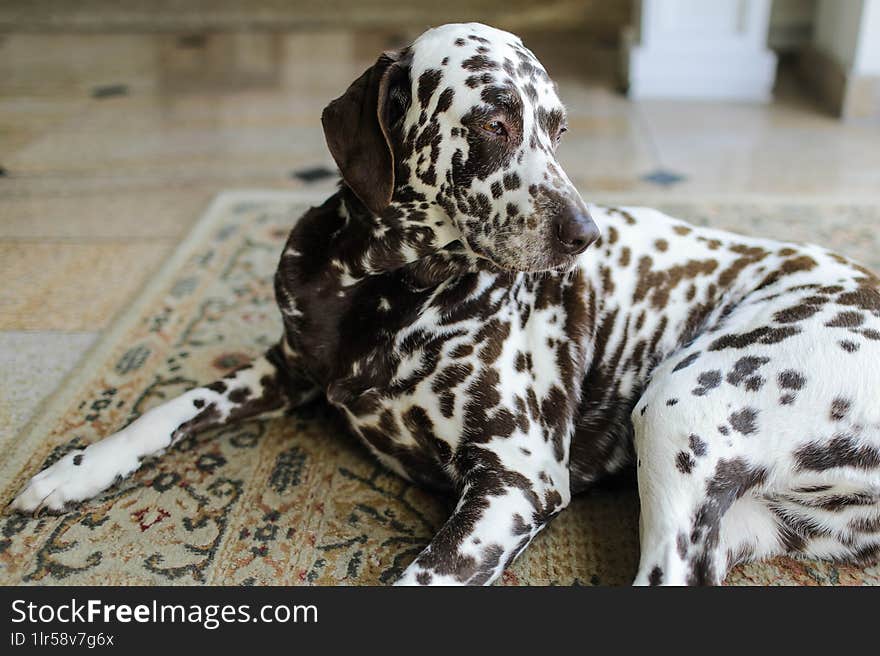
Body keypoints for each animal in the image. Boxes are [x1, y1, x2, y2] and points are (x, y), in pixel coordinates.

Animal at [12, 23, 880, 588]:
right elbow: (169, 409)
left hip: (677, 407)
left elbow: (423, 578)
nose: (586, 234)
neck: (386, 293)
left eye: (558, 127)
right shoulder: (285, 367)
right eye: (494, 122)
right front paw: (74, 471)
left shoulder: (516, 480)